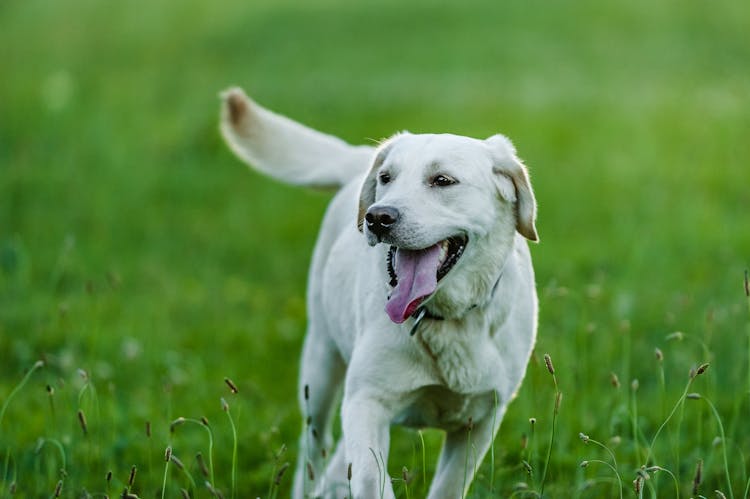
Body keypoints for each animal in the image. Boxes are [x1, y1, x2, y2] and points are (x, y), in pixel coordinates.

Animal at [220, 88, 536, 498]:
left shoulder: (481, 419)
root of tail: (359, 157)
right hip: (320, 368)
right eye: (387, 178)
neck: (444, 318)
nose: (377, 216)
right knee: (314, 452)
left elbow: (448, 485)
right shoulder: (367, 401)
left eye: (443, 180)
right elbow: (372, 478)